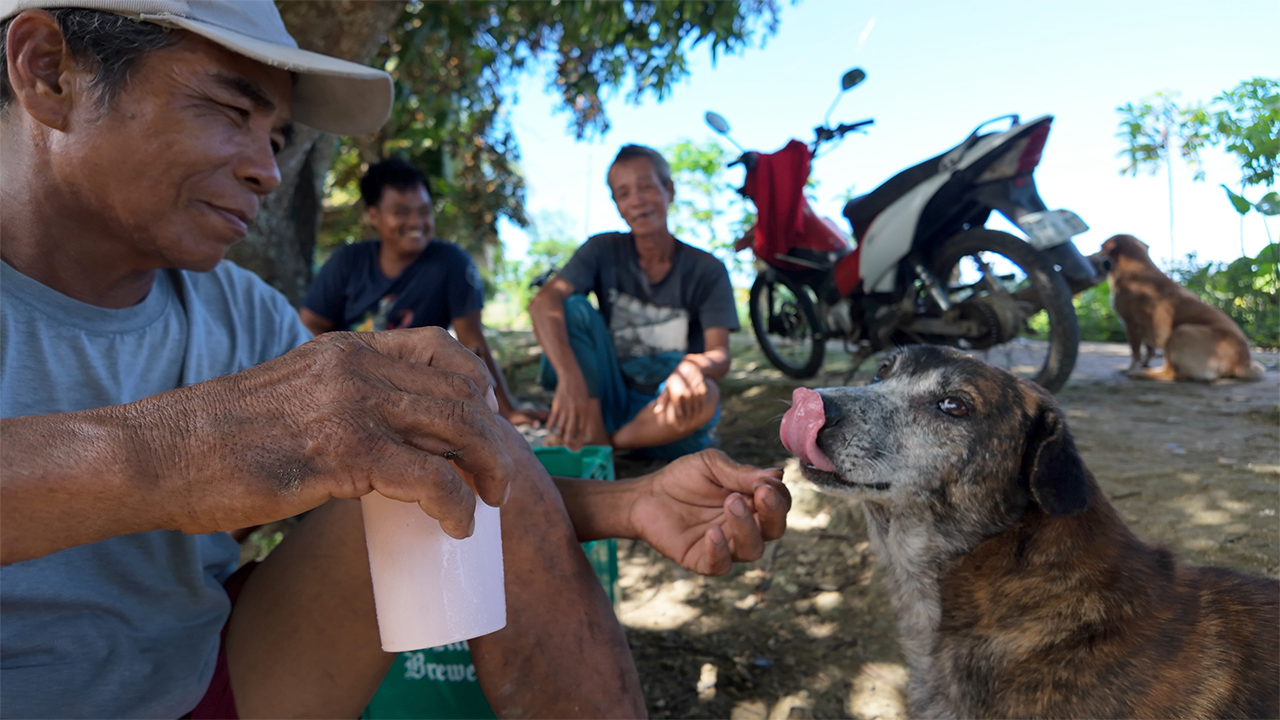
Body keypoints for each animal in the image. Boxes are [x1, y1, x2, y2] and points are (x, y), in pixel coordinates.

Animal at [1095, 234, 1264, 381]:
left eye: (1101, 247)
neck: (1137, 267)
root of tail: (1241, 362)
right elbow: (1148, 351)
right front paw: (1144, 363)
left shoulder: (1132, 326)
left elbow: (1135, 354)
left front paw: (1131, 368)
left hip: (1180, 332)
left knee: (1169, 373)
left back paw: (1142, 374)